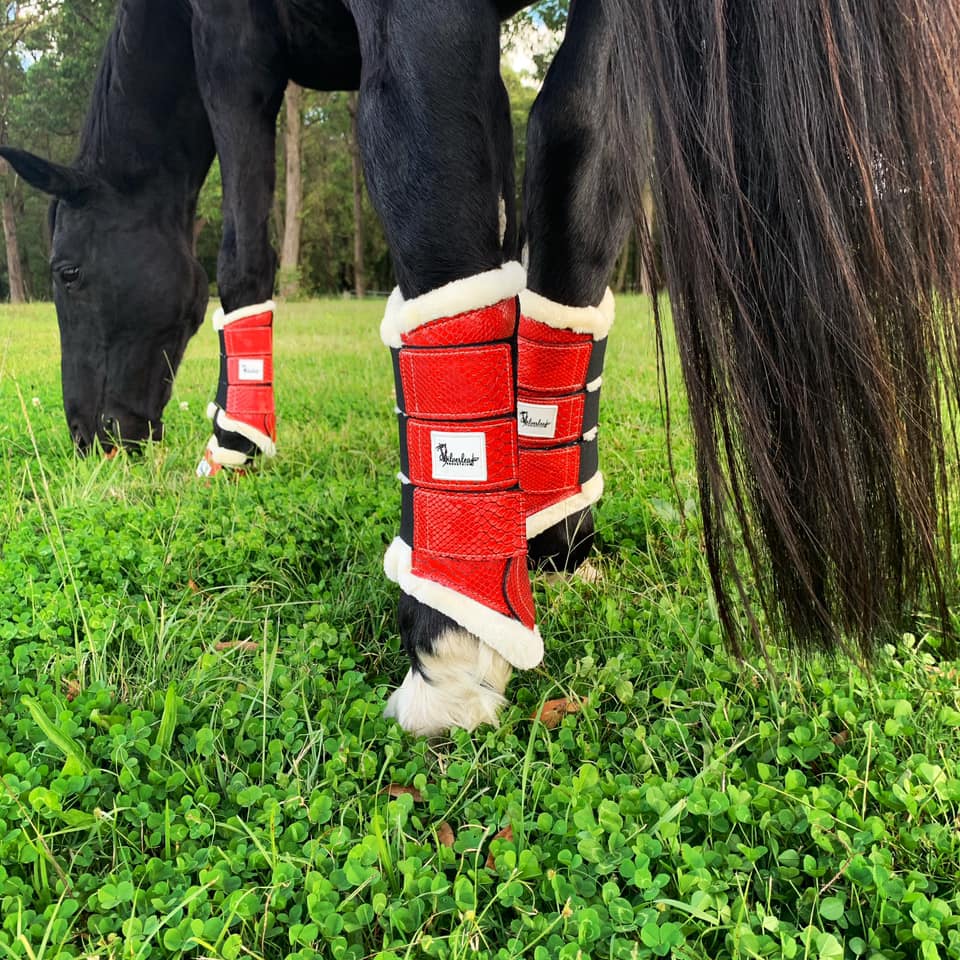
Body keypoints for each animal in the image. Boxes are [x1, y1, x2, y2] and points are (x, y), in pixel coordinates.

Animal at [1, 1, 960, 736]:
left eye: (67, 272)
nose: (90, 435)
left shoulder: (234, 45)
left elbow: (243, 249)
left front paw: (235, 444)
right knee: (578, 146)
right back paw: (549, 530)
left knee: (436, 179)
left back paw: (452, 646)